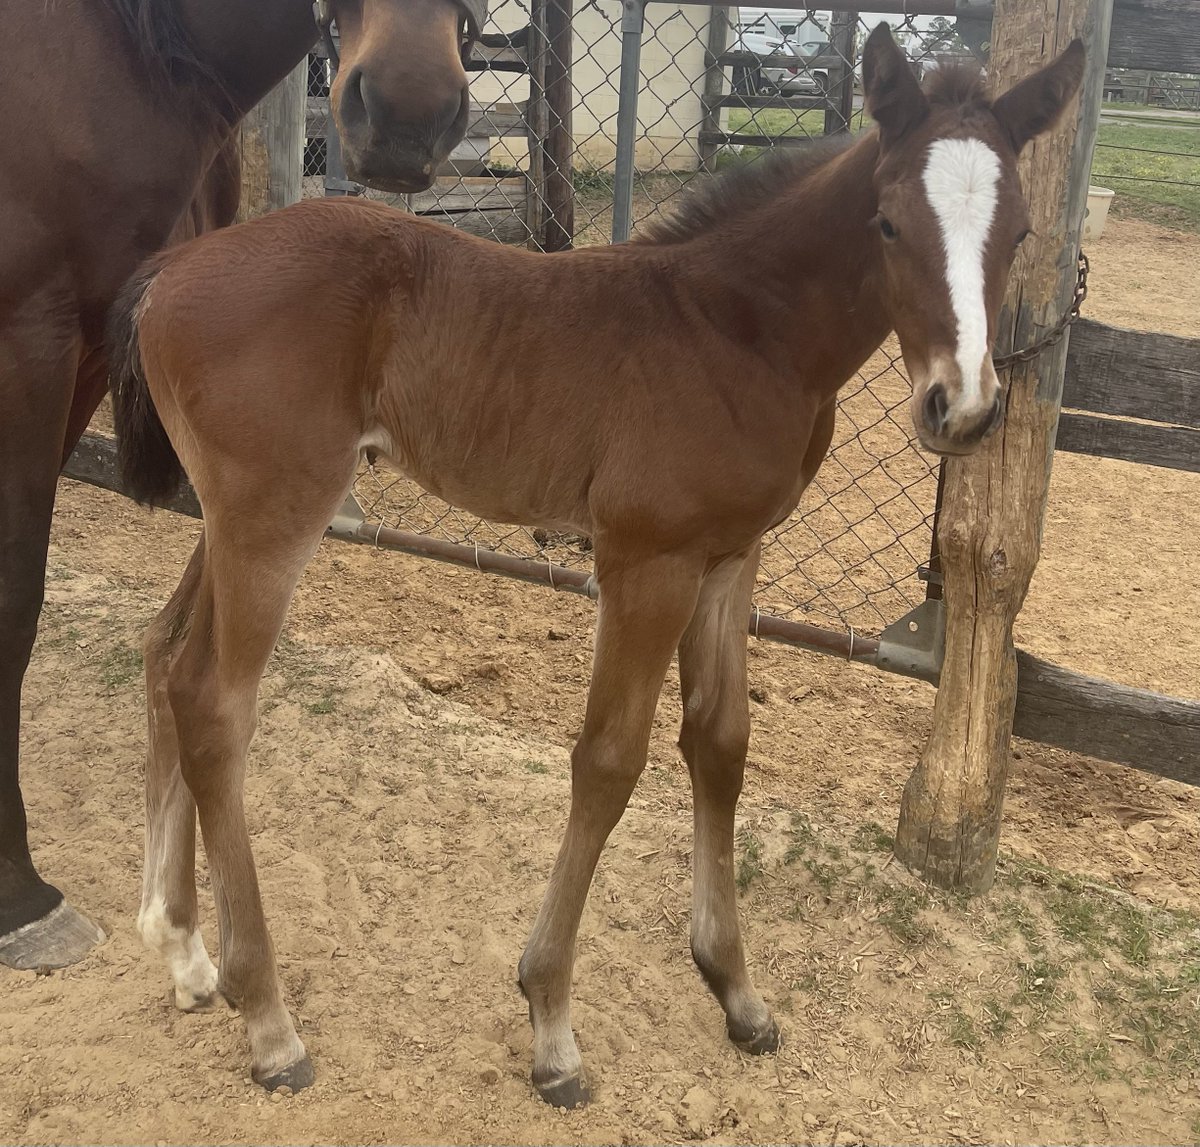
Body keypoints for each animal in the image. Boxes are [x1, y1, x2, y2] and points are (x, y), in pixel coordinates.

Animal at [108, 24, 1083, 1102]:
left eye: (1022, 232)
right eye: (887, 222)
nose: (963, 407)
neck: (736, 329)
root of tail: (172, 268)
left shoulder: (730, 557)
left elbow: (720, 744)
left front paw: (735, 989)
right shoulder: (646, 561)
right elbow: (609, 761)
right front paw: (552, 1025)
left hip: (230, 518)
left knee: (165, 658)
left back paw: (183, 948)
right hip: (273, 518)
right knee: (215, 704)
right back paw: (269, 1017)